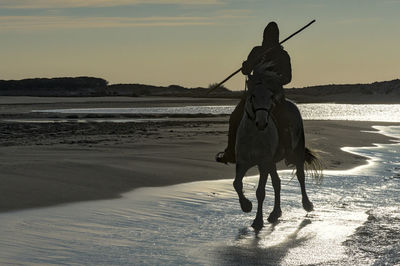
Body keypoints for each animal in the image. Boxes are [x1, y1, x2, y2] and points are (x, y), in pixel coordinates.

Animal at [233, 80, 320, 230]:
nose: (262, 123)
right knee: (277, 182)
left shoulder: (263, 163)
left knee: (300, 176)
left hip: (296, 152)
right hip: (272, 162)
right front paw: (246, 206)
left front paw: (258, 221)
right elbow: (237, 184)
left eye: (271, 97)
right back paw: (275, 213)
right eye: (253, 96)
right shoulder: (242, 162)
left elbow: (260, 192)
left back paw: (307, 204)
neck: (254, 135)